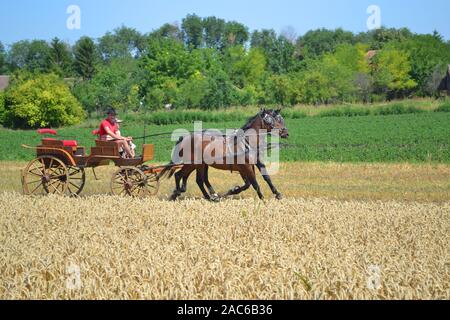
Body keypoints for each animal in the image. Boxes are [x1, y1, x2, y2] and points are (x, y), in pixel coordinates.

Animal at [160, 109, 290, 200]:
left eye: (279, 119)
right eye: (271, 120)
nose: (286, 133)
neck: (247, 142)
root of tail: (185, 138)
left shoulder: (255, 163)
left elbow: (265, 178)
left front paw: (277, 194)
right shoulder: (246, 166)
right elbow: (254, 183)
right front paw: (262, 199)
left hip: (200, 165)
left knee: (199, 180)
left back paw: (211, 196)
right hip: (192, 163)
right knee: (179, 175)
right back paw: (177, 193)